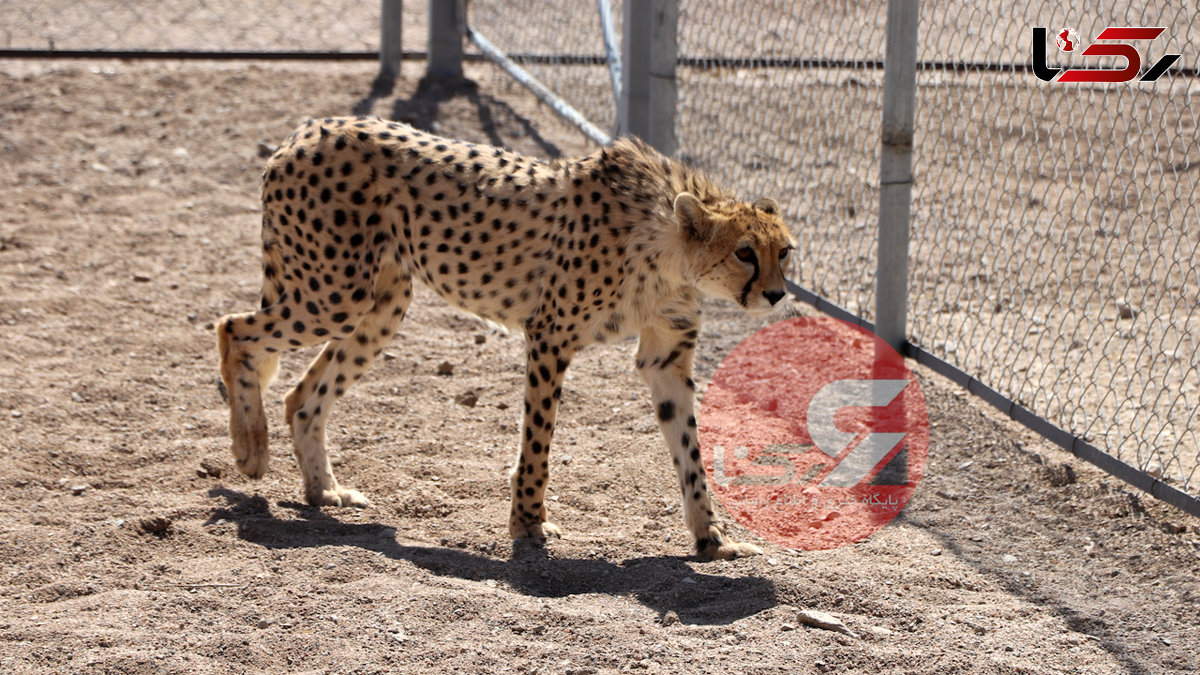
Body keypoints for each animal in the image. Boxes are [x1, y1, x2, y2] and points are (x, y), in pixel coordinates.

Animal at [216, 115, 796, 557]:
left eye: (784, 251)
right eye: (745, 252)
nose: (776, 295)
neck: (669, 246)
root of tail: (311, 128)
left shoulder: (666, 360)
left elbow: (691, 452)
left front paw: (712, 539)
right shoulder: (550, 336)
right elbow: (538, 441)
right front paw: (529, 524)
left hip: (381, 306)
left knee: (300, 395)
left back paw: (323, 489)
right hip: (334, 295)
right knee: (233, 329)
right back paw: (250, 450)